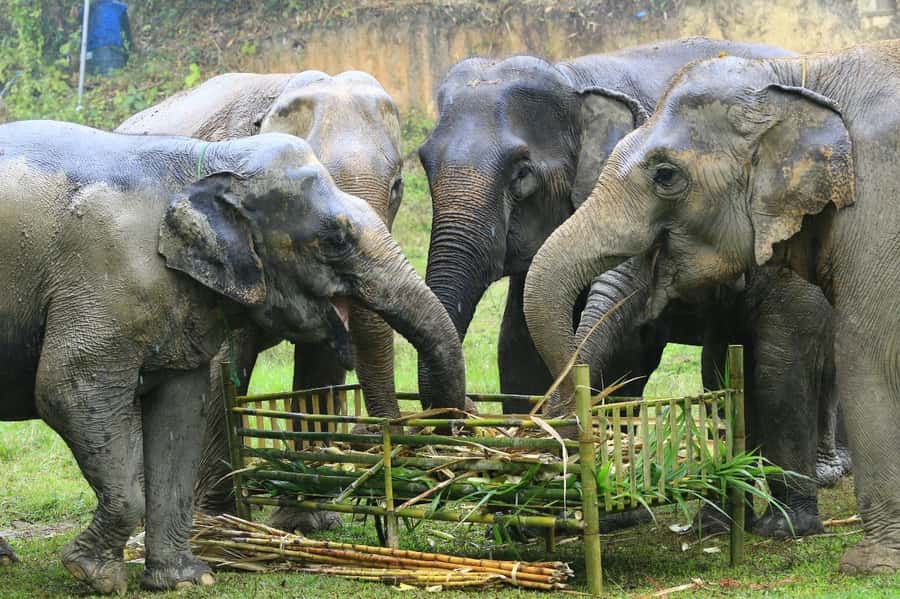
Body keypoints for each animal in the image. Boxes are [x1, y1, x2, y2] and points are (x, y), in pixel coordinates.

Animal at [0, 120, 465, 593]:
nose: (444, 464)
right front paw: (94, 575)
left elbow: (181, 412)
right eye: (335, 240)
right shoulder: (105, 278)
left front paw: (187, 580)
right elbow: (67, 391)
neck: (210, 163)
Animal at [418, 37, 843, 535]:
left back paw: (827, 475)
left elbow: (630, 352)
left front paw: (612, 510)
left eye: (521, 173)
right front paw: (520, 517)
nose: (467, 413)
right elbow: (516, 344)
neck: (571, 77)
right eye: (423, 162)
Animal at [524, 41, 900, 574]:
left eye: (666, 176)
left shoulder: (872, 214)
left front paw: (822, 546)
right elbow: (720, 376)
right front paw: (716, 525)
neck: (803, 75)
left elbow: (817, 363)